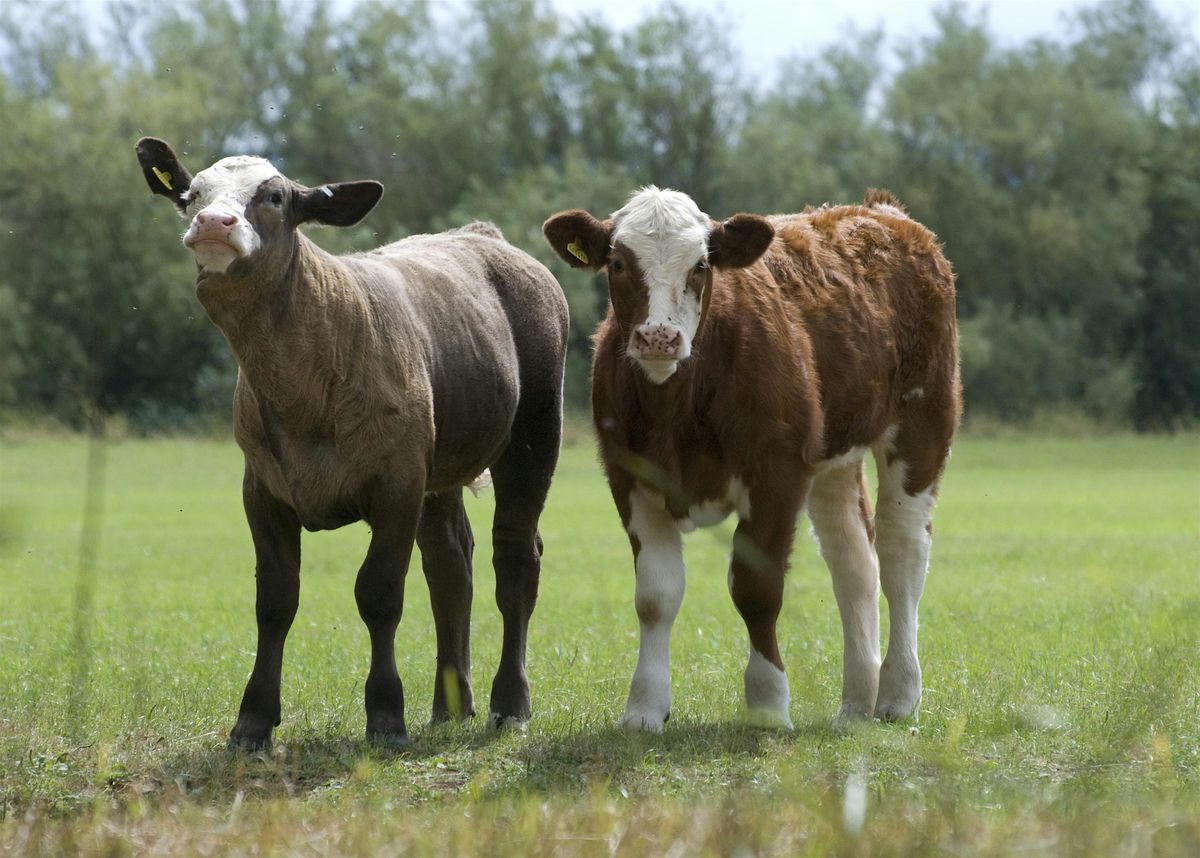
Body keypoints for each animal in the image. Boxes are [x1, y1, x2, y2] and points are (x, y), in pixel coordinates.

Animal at [135, 137, 568, 748]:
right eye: (193, 193)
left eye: (274, 197)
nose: (214, 222)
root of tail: (483, 236)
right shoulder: (262, 488)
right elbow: (275, 600)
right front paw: (252, 722)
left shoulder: (397, 483)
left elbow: (379, 593)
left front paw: (386, 715)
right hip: (440, 463)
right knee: (450, 566)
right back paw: (449, 706)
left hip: (534, 432)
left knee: (514, 559)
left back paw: (509, 705)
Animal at [544, 187, 959, 730]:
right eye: (617, 262)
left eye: (700, 264)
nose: (659, 338)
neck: (678, 405)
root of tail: (882, 212)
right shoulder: (629, 479)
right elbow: (656, 596)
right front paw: (645, 707)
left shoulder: (777, 474)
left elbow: (757, 589)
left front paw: (768, 704)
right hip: (835, 459)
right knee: (853, 562)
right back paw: (856, 702)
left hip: (923, 423)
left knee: (901, 554)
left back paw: (898, 693)